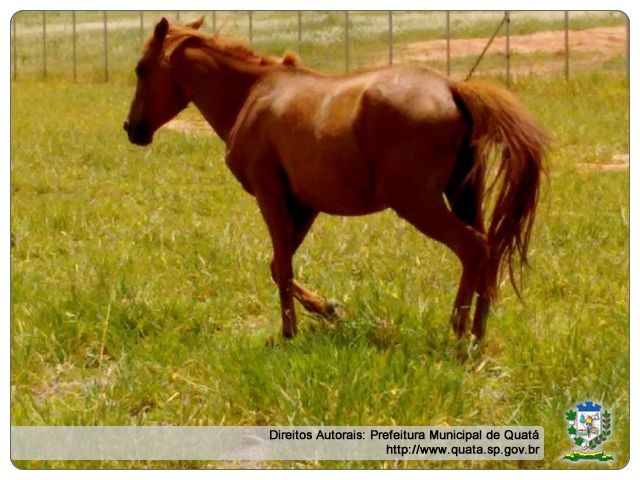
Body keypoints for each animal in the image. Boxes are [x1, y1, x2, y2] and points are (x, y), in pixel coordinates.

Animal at [126, 18, 552, 342]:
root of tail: (451, 89)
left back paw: (460, 333)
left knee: (473, 248)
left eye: (141, 69)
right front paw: (328, 309)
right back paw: (478, 335)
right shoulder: (304, 204)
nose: (132, 128)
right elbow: (277, 265)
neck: (254, 93)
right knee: (490, 249)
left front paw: (289, 333)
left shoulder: (270, 194)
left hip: (418, 204)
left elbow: (282, 268)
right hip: (461, 194)